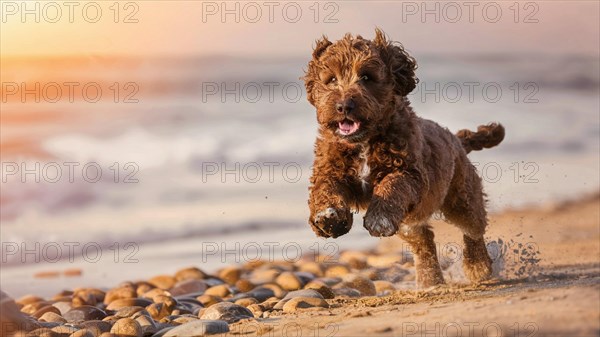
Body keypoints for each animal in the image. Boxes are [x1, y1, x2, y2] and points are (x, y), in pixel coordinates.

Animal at [302, 29, 504, 286]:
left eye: (366, 77)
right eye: (332, 79)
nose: (343, 106)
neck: (364, 141)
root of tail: (457, 139)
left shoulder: (409, 172)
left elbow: (392, 185)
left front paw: (379, 217)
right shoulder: (330, 168)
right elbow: (325, 189)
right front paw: (328, 218)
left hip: (462, 196)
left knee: (473, 228)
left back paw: (478, 266)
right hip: (409, 222)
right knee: (423, 240)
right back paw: (430, 279)